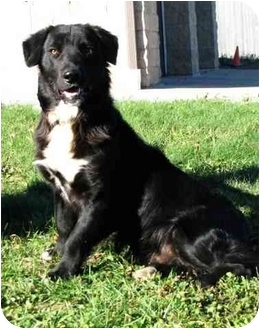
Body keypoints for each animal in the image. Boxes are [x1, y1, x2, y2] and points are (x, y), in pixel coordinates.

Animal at [22, 23, 256, 284]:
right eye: (54, 51)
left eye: (87, 49)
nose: (71, 75)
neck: (72, 121)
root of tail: (248, 238)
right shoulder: (59, 190)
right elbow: (64, 228)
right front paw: (57, 252)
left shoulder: (99, 197)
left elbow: (78, 238)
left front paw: (63, 271)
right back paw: (152, 271)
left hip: (186, 227)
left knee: (236, 268)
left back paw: (197, 280)